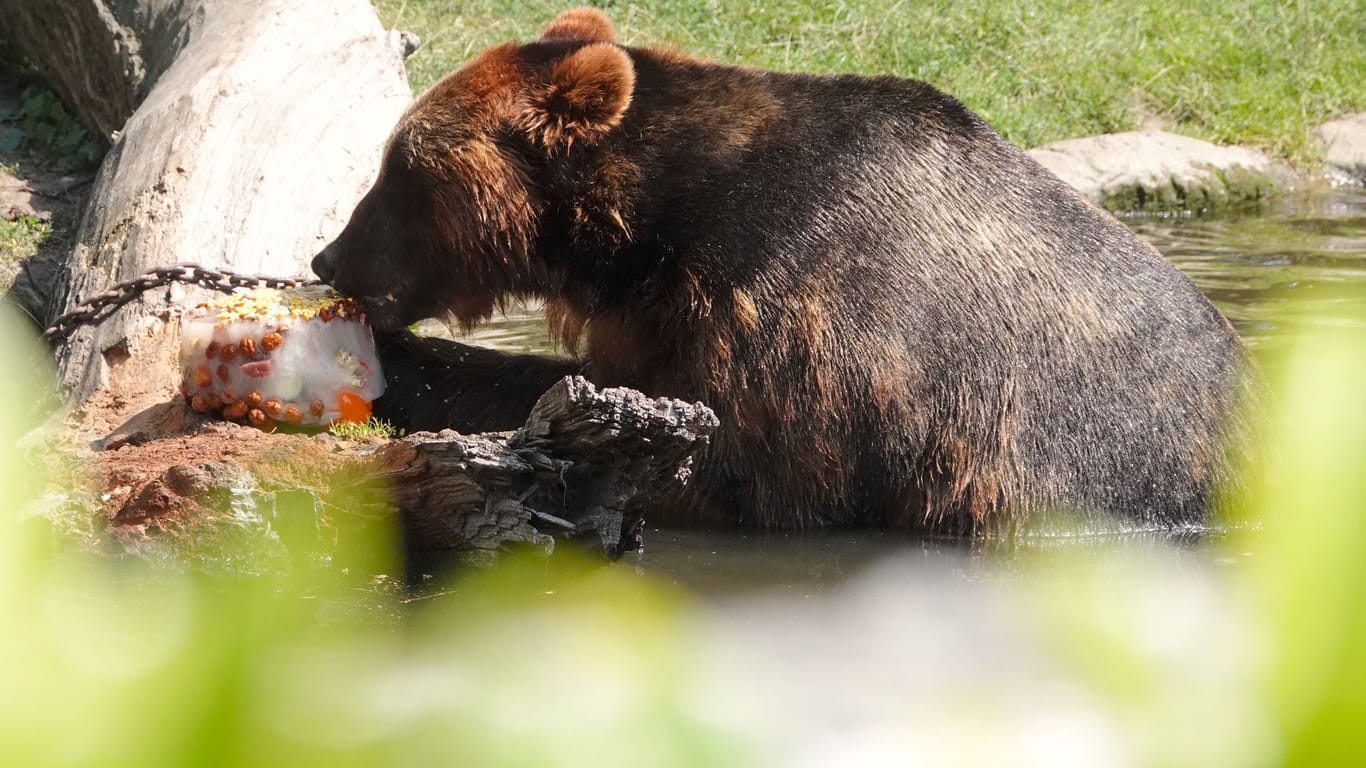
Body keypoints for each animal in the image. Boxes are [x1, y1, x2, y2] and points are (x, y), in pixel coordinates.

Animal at [314, 7, 1251, 532]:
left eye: (399, 166)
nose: (328, 255)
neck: (649, 236)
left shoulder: (816, 328)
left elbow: (735, 471)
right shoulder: (661, 317)